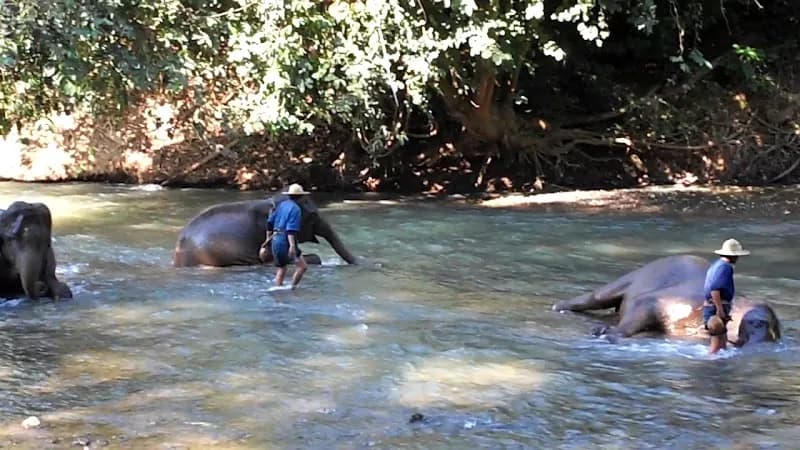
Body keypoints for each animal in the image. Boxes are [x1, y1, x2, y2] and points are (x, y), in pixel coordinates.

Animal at [552, 255, 781, 347]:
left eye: (774, 331)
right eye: (756, 322)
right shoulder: (661, 301)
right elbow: (637, 313)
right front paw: (607, 332)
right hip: (625, 281)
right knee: (595, 297)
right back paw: (560, 307)